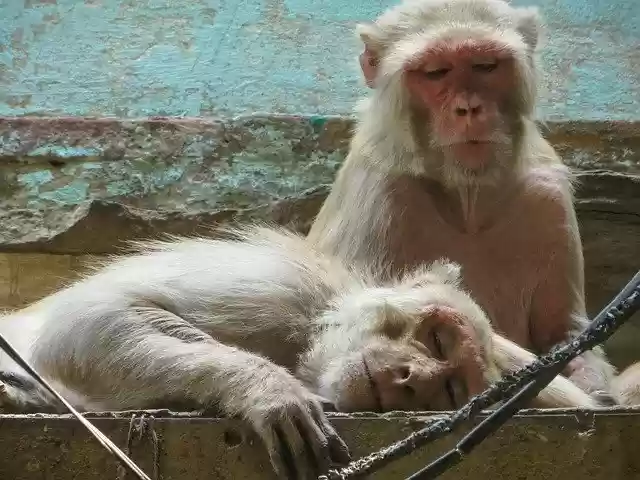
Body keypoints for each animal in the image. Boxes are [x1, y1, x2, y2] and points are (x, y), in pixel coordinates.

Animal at [0, 224, 613, 479]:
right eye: (436, 340)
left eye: (450, 388)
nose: (412, 377)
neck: (308, 350)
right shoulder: (279, 290)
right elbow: (86, 322)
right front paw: (268, 388)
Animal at [306, 0, 616, 397]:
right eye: (435, 72)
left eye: (485, 65)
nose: (468, 109)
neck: (468, 202)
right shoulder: (380, 196)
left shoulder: (547, 198)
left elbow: (565, 334)